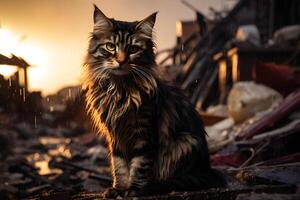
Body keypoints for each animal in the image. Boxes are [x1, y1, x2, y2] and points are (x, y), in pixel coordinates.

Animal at [81, 5, 225, 198]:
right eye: (110, 47)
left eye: (133, 49)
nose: (120, 61)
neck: (120, 90)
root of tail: (206, 168)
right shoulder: (115, 135)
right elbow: (119, 166)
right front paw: (118, 189)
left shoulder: (144, 132)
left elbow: (139, 165)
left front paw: (133, 190)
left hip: (184, 143)